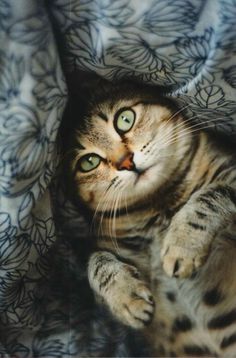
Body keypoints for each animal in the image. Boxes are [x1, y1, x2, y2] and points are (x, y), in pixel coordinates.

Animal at [61, 72, 236, 356]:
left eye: (125, 119)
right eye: (89, 162)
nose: (126, 162)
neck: (160, 208)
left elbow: (210, 194)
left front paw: (183, 244)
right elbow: (96, 262)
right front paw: (127, 296)